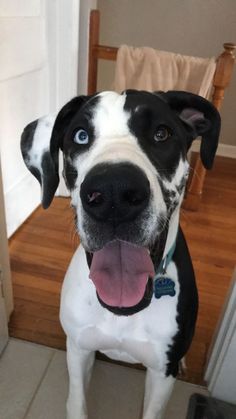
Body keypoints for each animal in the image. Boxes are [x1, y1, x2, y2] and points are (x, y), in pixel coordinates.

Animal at [21, 92, 220, 419]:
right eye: (80, 136)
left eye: (161, 134)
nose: (113, 192)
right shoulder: (77, 350)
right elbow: (76, 403)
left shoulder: (162, 374)